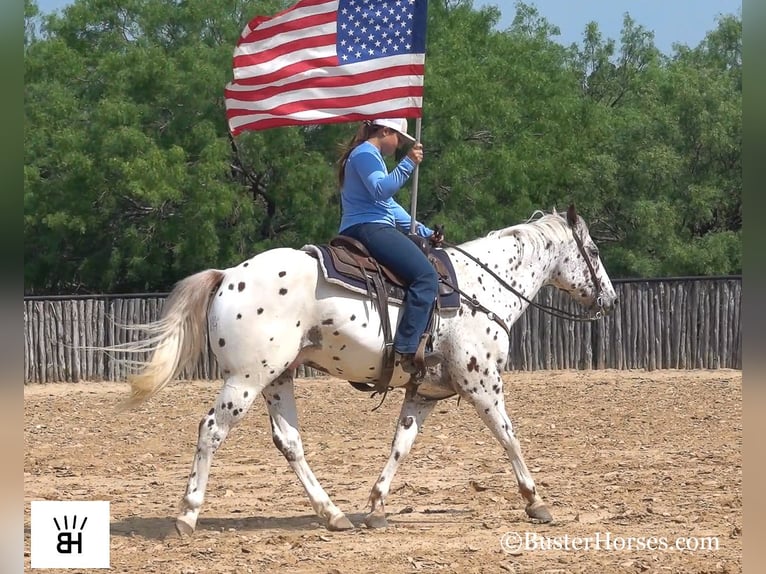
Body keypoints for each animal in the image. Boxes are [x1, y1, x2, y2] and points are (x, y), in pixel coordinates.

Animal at [115, 206, 616, 536]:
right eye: (592, 249)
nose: (609, 299)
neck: (481, 288)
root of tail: (227, 275)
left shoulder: (424, 393)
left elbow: (401, 443)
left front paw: (375, 507)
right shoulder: (482, 383)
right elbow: (509, 437)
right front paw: (536, 501)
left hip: (277, 378)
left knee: (289, 442)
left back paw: (332, 514)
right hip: (245, 379)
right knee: (211, 430)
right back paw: (187, 515)